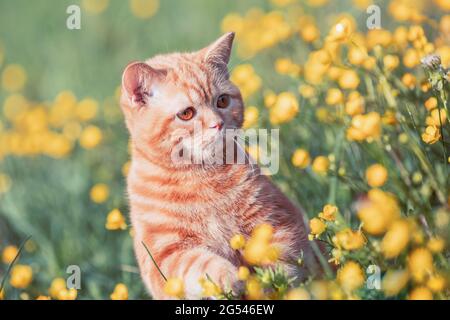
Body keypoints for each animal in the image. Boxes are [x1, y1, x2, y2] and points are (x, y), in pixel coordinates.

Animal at [120, 31, 320, 298]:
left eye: (222, 101)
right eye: (186, 114)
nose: (217, 124)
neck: (202, 176)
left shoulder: (275, 219)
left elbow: (281, 254)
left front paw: (270, 281)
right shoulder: (165, 253)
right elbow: (197, 263)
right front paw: (228, 277)